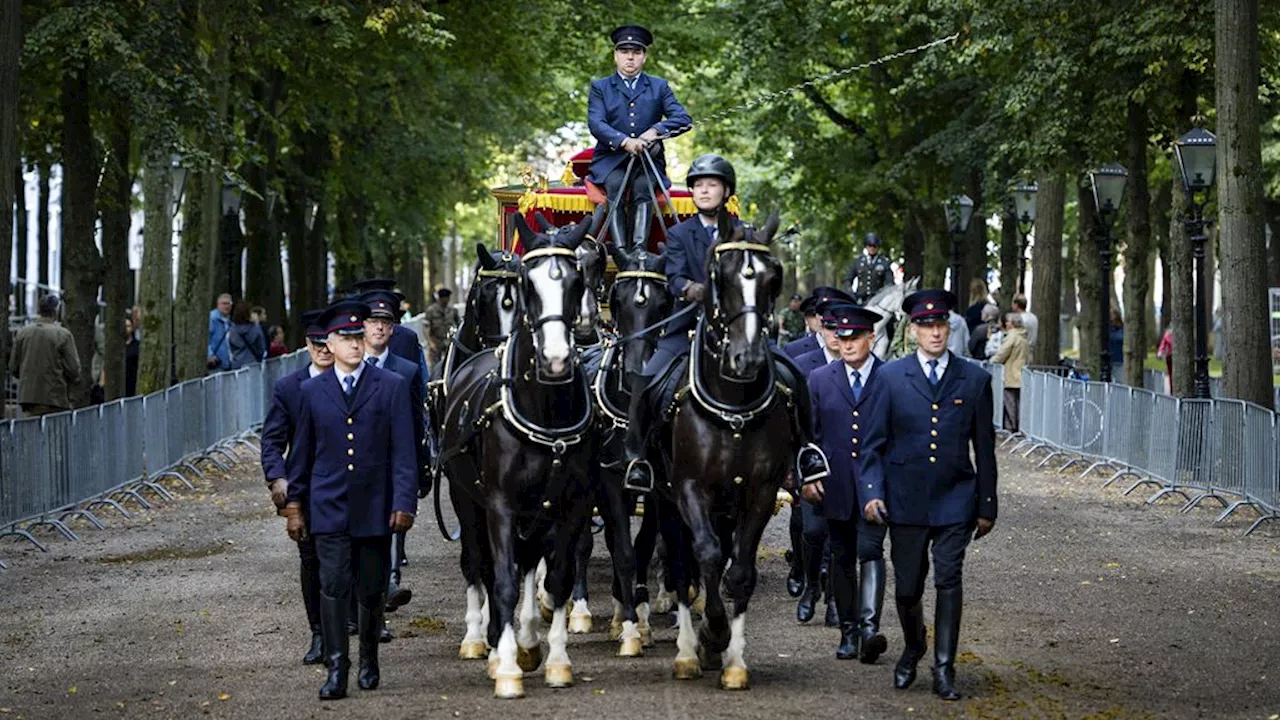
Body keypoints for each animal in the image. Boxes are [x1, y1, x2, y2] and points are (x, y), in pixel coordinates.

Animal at [437, 212, 596, 696]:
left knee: (528, 563)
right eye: (529, 282)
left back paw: (525, 638)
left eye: (578, 282)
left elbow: (558, 576)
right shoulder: (500, 505)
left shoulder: (571, 504)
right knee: (479, 564)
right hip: (465, 499)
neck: (544, 409)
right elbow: (502, 580)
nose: (557, 359)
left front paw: (554, 659)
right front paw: (505, 664)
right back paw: (482, 639)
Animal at [655, 210, 793, 686]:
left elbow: (740, 571)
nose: (746, 359)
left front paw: (733, 658)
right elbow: (708, 555)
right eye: (721, 275)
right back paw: (685, 649)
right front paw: (711, 633)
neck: (732, 405)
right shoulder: (688, 487)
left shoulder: (760, 491)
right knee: (682, 562)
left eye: (774, 277)